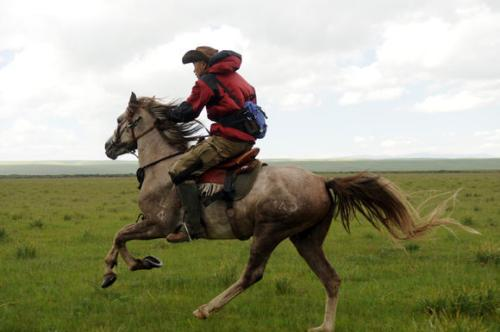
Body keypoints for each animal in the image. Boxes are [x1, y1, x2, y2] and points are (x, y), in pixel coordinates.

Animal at [103, 91, 466, 332]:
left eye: (121, 120)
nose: (108, 147)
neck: (161, 168)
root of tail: (322, 181)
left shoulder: (159, 225)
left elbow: (119, 236)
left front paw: (123, 269)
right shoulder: (152, 225)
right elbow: (120, 237)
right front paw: (134, 265)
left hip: (269, 232)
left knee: (253, 274)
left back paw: (206, 310)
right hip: (305, 239)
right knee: (331, 278)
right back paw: (324, 327)